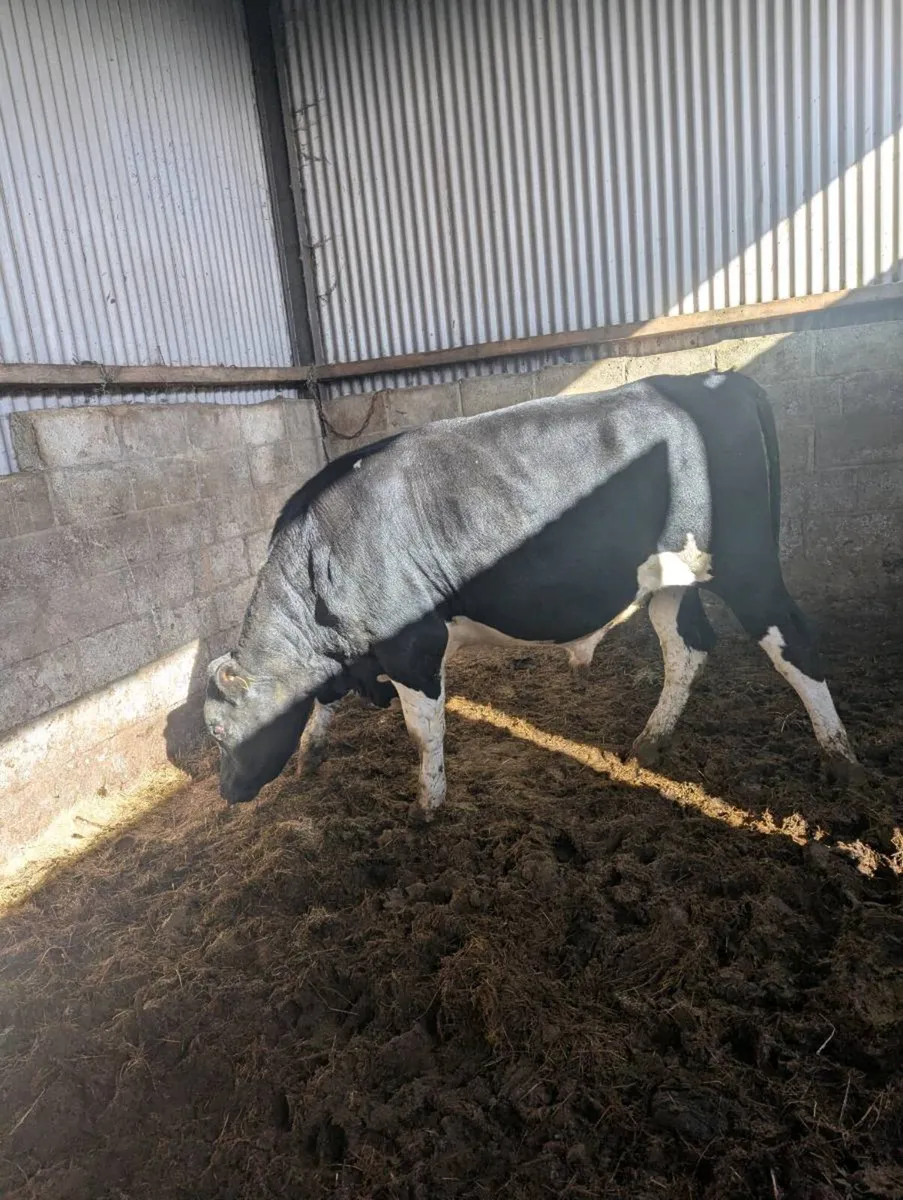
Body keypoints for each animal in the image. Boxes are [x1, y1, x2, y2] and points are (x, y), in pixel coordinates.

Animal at [204, 371, 862, 808]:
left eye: (216, 732)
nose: (228, 792)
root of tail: (718, 378)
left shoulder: (413, 644)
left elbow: (423, 729)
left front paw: (429, 802)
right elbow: (323, 699)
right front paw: (312, 753)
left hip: (748, 565)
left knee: (793, 643)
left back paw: (841, 760)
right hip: (671, 578)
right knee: (688, 647)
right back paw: (649, 743)